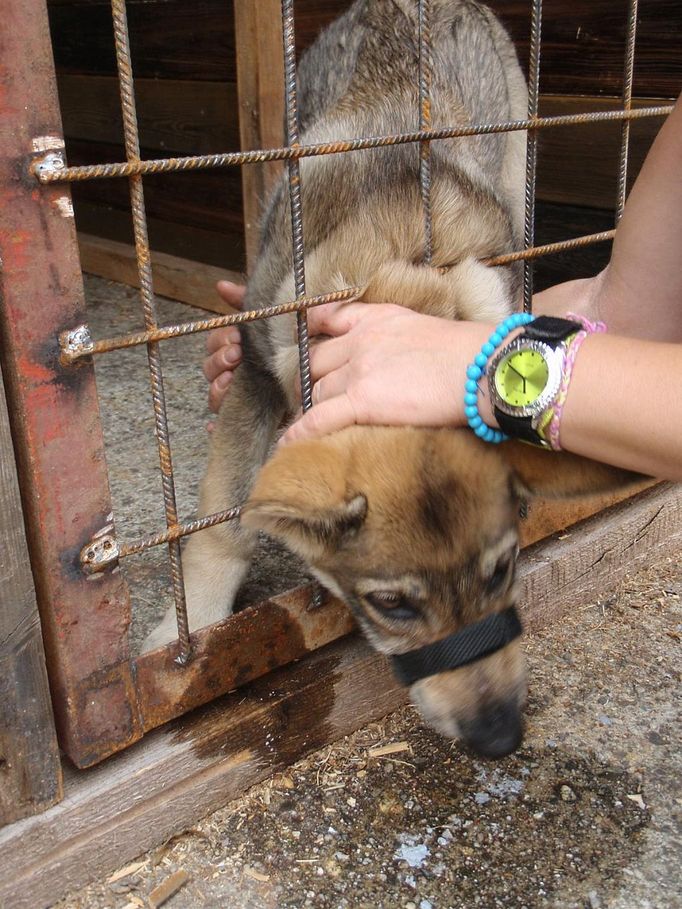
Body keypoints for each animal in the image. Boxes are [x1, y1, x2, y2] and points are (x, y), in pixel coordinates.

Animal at [146, 1, 628, 760]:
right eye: (391, 603)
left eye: (502, 570)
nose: (500, 736)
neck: (397, 270)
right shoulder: (257, 372)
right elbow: (225, 526)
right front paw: (183, 644)